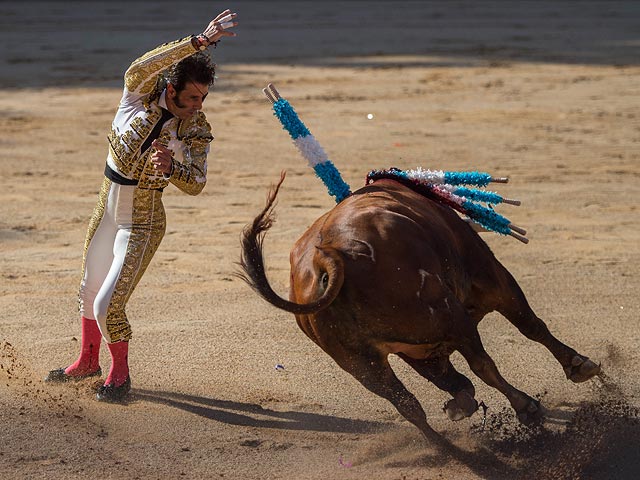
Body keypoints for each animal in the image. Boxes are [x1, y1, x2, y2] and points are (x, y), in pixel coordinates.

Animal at [239, 173, 600, 442]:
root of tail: (328, 256)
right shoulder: (492, 278)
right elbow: (530, 326)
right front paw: (579, 365)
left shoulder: (416, 349)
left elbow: (450, 380)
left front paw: (458, 406)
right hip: (451, 316)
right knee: (483, 363)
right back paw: (526, 407)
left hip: (363, 366)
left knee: (408, 405)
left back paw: (450, 448)